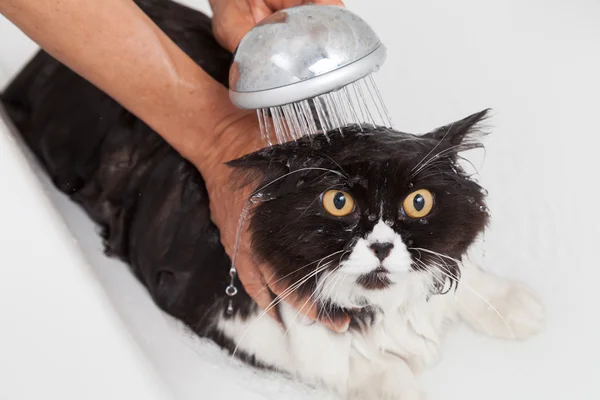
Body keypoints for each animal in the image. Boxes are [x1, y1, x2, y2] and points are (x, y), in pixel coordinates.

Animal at [0, 1, 544, 398]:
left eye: (418, 203)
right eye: (338, 202)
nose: (382, 246)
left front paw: (511, 303)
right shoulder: (214, 295)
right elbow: (323, 355)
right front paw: (389, 378)